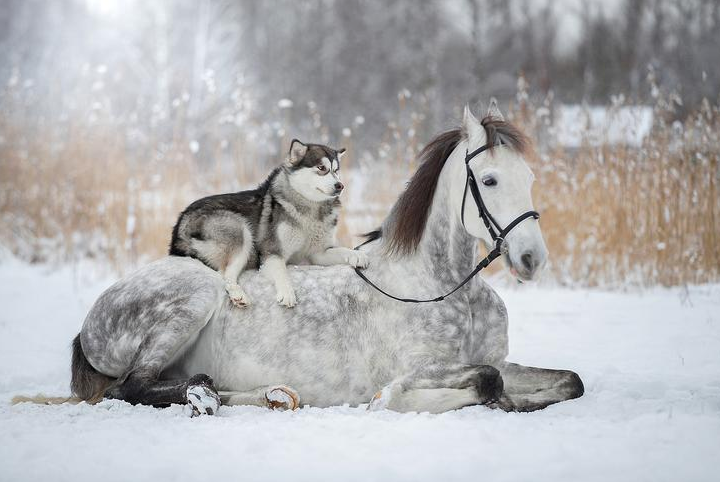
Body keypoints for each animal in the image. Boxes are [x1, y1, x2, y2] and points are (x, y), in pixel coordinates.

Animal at [168, 138, 366, 308]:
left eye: (336, 170)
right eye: (321, 167)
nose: (340, 185)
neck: (310, 209)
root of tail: (180, 224)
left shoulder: (318, 254)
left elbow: (340, 250)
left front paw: (356, 255)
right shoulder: (272, 252)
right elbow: (281, 271)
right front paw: (287, 292)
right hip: (240, 231)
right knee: (225, 274)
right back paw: (238, 294)